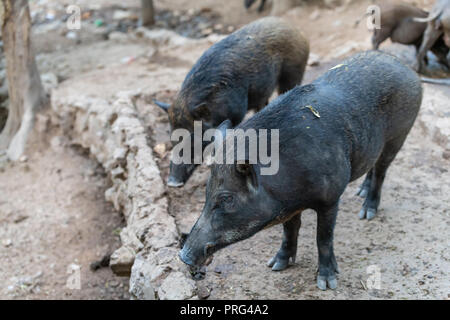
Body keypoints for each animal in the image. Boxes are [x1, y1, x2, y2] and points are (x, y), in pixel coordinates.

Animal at [155, 16, 310, 188]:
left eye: (193, 140)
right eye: (172, 139)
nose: (172, 183)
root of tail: (295, 28)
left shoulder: (237, 113)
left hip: (293, 73)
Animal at [178, 50, 422, 290]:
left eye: (227, 199)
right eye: (207, 192)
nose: (183, 256)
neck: (290, 192)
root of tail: (406, 68)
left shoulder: (331, 198)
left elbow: (323, 238)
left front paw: (326, 283)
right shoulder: (288, 206)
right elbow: (289, 230)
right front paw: (275, 265)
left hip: (400, 134)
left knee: (381, 170)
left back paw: (366, 213)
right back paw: (359, 192)